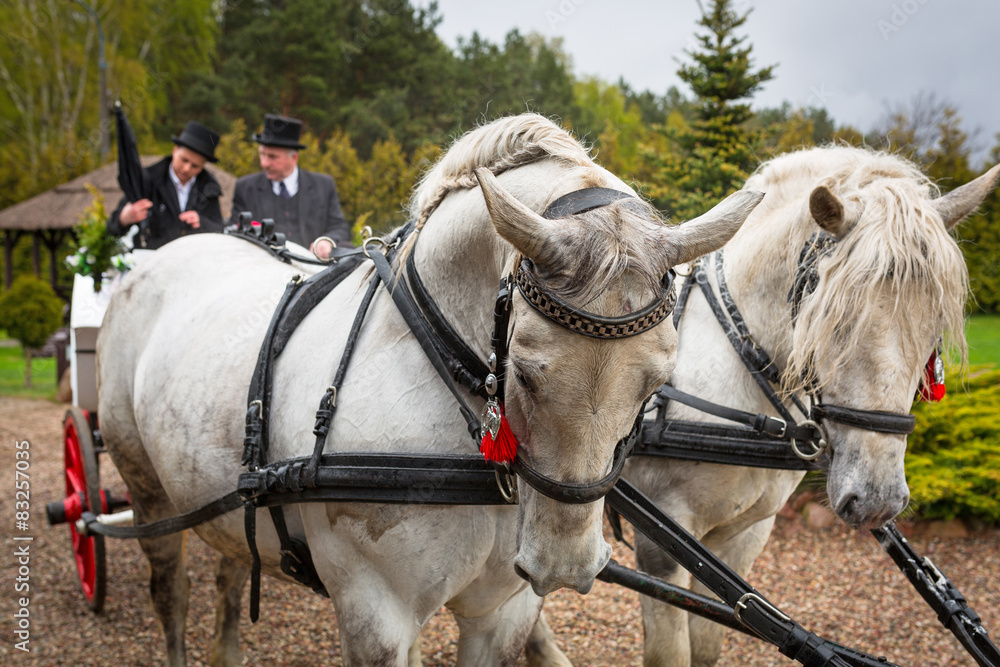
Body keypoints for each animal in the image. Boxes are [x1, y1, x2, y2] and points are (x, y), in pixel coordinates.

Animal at [97, 112, 760, 664]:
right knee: (170, 588)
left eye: (658, 382)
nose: (564, 565)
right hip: (145, 485)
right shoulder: (376, 615)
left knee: (232, 567)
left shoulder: (502, 613)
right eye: (524, 372)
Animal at [528, 147, 996, 667]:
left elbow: (708, 644)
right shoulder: (662, 543)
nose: (878, 501)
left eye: (935, 323)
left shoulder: (744, 536)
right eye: (834, 319)